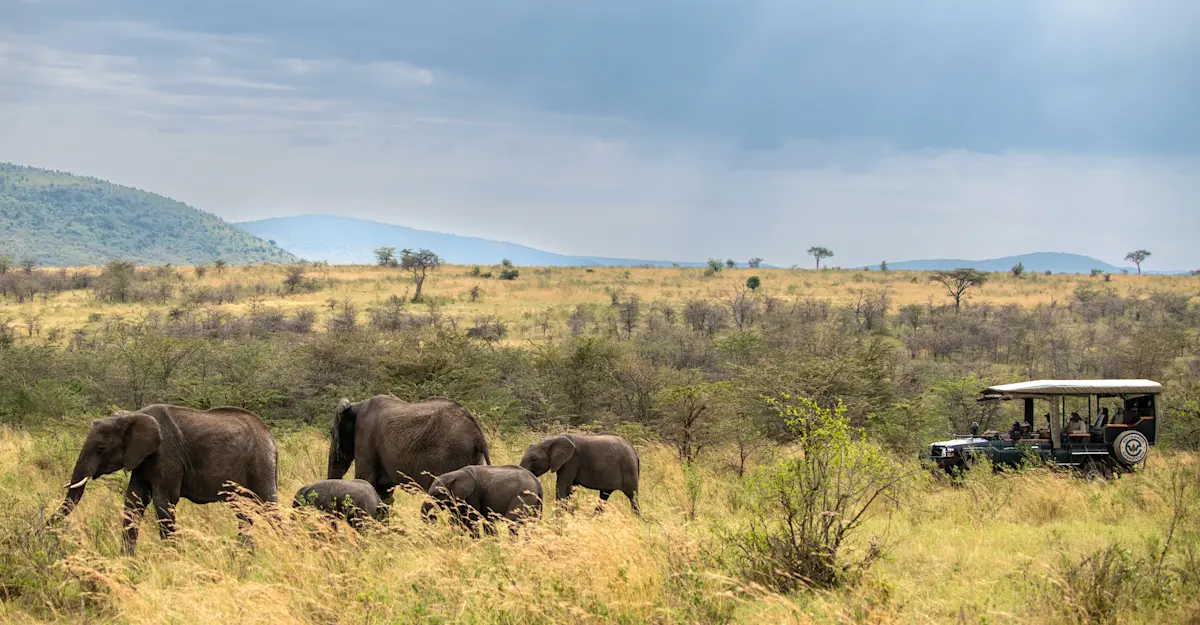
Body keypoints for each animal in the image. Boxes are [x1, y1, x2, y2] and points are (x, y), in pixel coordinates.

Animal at [51, 405, 279, 555]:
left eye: (100, 448)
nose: (47, 530)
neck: (132, 416)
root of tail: (270, 436)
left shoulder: (166, 455)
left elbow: (163, 501)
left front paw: (171, 557)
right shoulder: (142, 458)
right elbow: (134, 500)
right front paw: (126, 560)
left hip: (260, 463)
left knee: (269, 506)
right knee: (244, 510)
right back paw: (243, 554)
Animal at [327, 395, 491, 501]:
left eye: (331, 433)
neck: (356, 405)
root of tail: (478, 434)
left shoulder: (365, 438)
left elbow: (366, 480)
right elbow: (382, 493)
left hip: (453, 456)